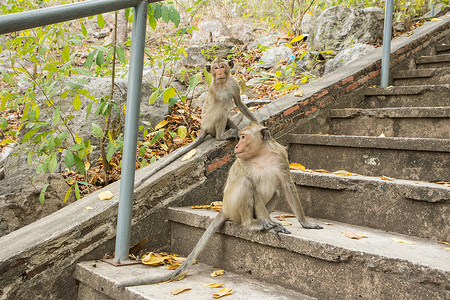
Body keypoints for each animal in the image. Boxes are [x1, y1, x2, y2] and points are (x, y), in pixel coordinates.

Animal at [118, 122, 322, 288]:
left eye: (243, 137)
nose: (237, 145)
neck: (261, 154)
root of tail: (223, 208)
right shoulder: (244, 163)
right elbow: (252, 187)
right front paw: (271, 227)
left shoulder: (280, 156)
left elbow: (287, 186)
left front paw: (305, 223)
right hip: (231, 205)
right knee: (244, 183)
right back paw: (252, 223)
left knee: (277, 192)